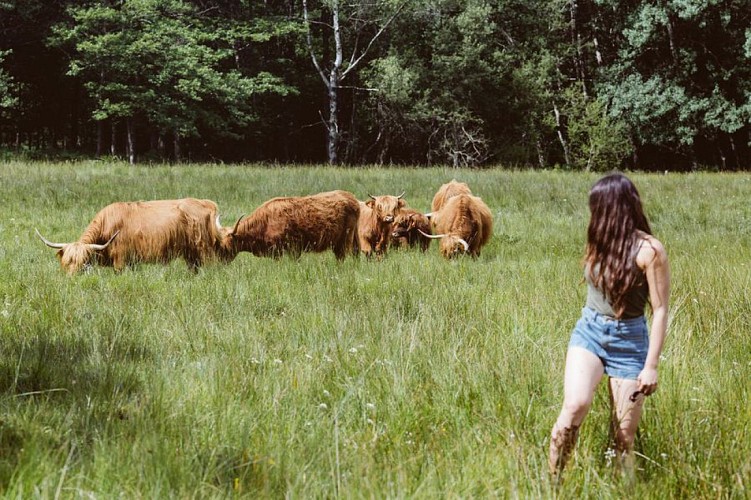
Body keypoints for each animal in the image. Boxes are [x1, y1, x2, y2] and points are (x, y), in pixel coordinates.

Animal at [36, 197, 236, 274]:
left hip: (203, 250)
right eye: (66, 262)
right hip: (190, 254)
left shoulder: (120, 260)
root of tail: (205, 202)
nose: (72, 278)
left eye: (83, 262)